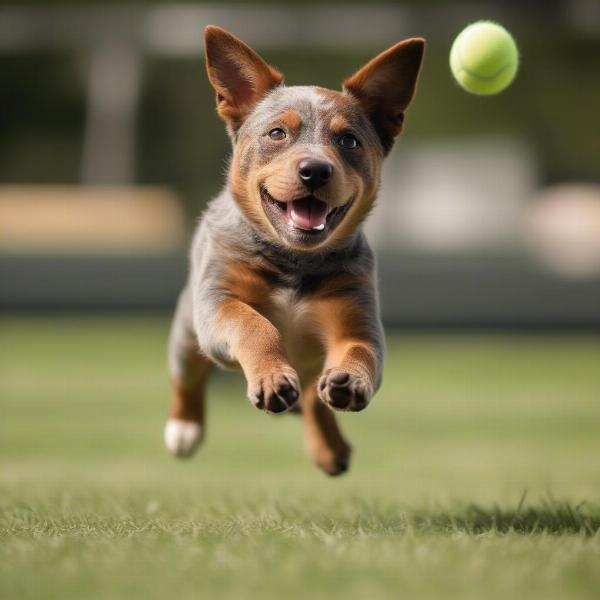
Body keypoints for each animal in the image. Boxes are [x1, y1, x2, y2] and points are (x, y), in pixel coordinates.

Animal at [165, 25, 426, 476]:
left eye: (348, 140)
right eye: (276, 134)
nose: (315, 170)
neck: (294, 260)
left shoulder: (357, 321)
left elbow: (360, 353)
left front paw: (351, 381)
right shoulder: (217, 301)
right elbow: (254, 325)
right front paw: (271, 375)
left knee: (312, 396)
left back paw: (330, 445)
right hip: (186, 330)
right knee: (188, 376)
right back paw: (184, 428)